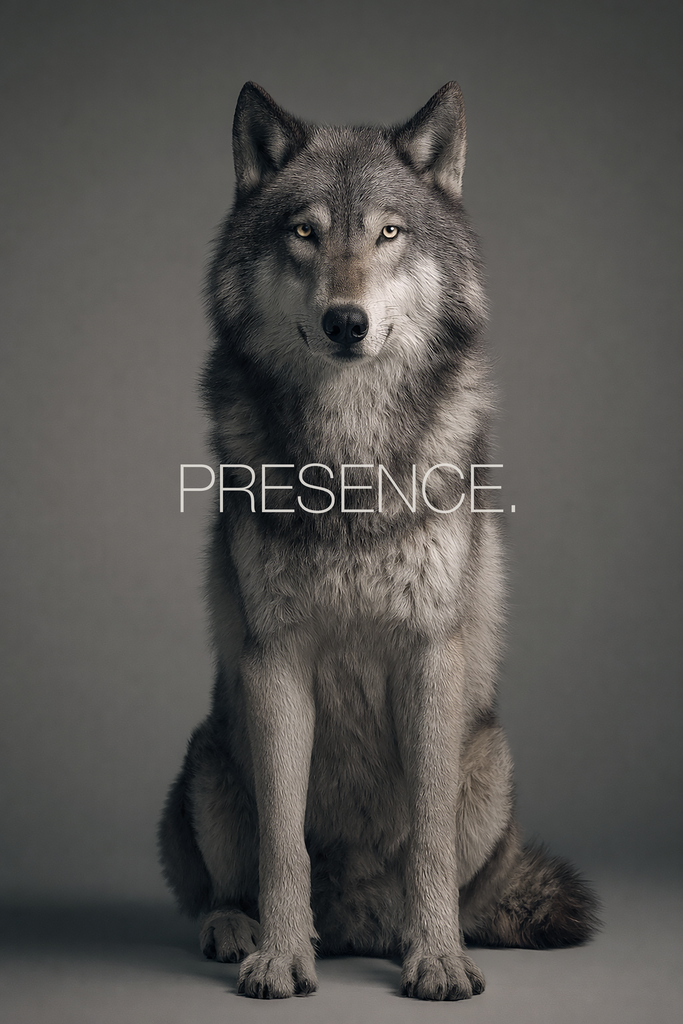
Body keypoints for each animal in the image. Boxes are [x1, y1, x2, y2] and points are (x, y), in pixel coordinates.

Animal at [159, 81, 599, 1001]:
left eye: (389, 233)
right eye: (304, 232)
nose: (345, 321)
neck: (351, 461)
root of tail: (354, 920)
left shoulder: (428, 655)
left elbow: (427, 837)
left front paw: (436, 957)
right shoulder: (275, 661)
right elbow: (281, 841)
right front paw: (280, 956)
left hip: (488, 761)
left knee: (459, 880)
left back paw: (410, 932)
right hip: (209, 759)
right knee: (218, 882)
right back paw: (236, 927)